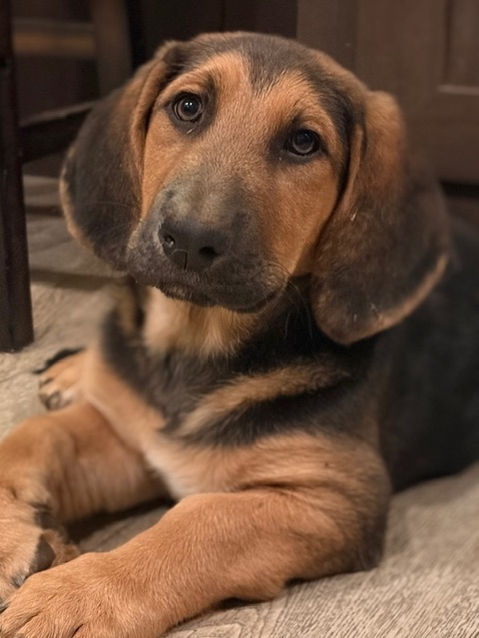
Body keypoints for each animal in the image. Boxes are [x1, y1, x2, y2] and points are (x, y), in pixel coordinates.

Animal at [0, 31, 478, 638]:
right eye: (188, 107)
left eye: (304, 142)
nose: (188, 239)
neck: (196, 346)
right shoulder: (132, 436)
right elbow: (34, 437)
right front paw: (17, 536)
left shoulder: (330, 498)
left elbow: (198, 523)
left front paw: (75, 596)